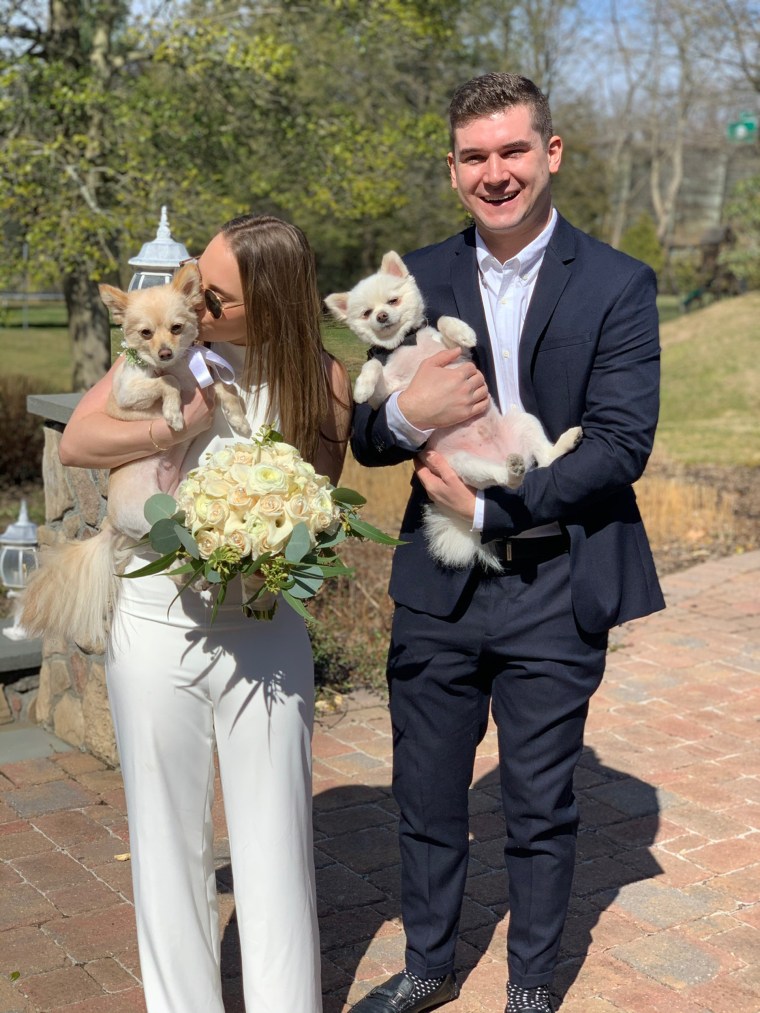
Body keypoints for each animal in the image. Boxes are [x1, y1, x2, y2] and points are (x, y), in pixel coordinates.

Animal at [17, 257, 250, 644]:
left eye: (176, 328)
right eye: (145, 333)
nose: (165, 352)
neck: (181, 367)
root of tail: (110, 522)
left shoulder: (203, 377)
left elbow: (222, 386)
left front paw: (239, 419)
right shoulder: (131, 392)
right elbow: (167, 383)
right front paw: (173, 413)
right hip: (157, 518)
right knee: (170, 558)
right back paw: (192, 577)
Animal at [328, 252, 583, 571]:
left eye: (393, 301)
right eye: (366, 313)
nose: (382, 316)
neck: (407, 343)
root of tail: (510, 455)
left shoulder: (457, 355)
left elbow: (445, 321)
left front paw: (464, 331)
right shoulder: (388, 393)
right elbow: (374, 368)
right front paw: (362, 386)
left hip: (523, 420)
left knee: (546, 458)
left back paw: (561, 443)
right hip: (465, 464)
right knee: (506, 479)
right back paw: (513, 471)